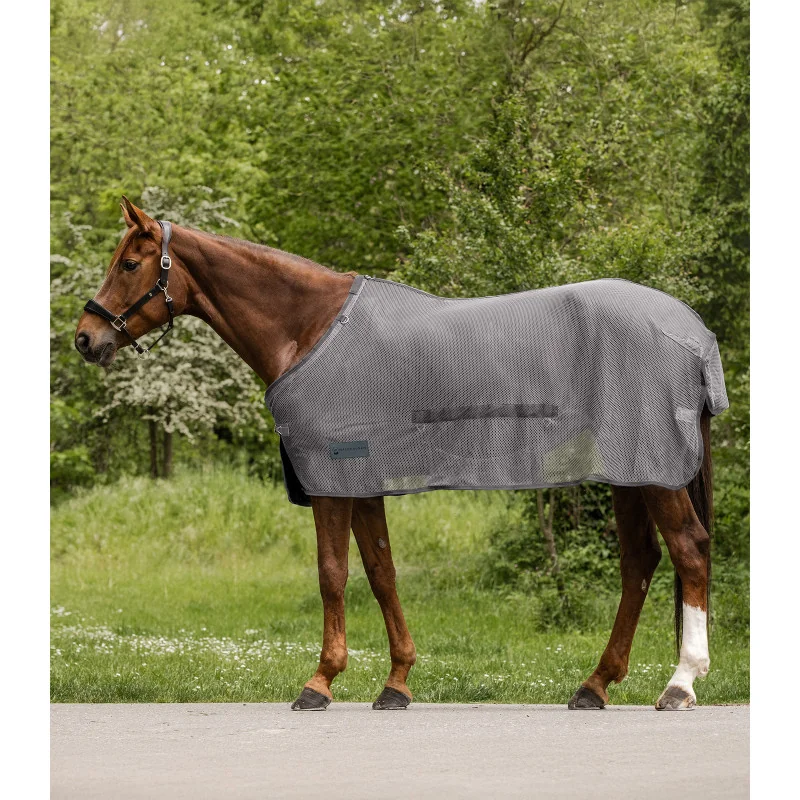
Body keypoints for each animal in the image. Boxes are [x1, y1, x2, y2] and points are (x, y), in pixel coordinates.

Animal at [75, 197, 716, 712]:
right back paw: (595, 685)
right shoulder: (362, 481)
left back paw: (680, 684)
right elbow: (381, 573)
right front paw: (397, 682)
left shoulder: (332, 478)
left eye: (128, 264)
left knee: (688, 551)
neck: (309, 328)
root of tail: (693, 333)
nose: (85, 337)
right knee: (639, 563)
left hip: (655, 474)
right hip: (630, 473)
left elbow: (332, 573)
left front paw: (320, 682)